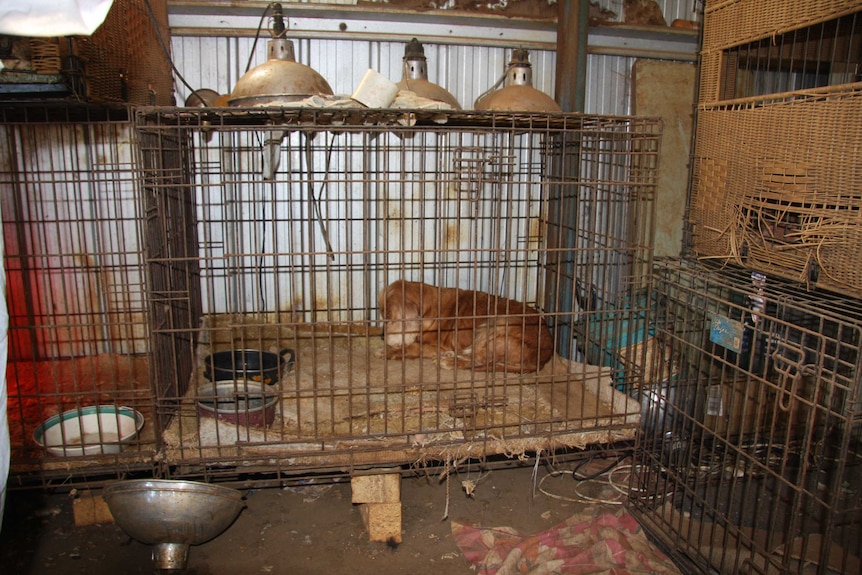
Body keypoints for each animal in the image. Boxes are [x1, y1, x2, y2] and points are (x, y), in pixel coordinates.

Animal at [376, 280, 552, 374]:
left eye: (389, 316)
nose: (382, 337)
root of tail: (542, 358)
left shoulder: (438, 346)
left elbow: (414, 347)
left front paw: (388, 351)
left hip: (499, 324)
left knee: (479, 360)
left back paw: (448, 361)